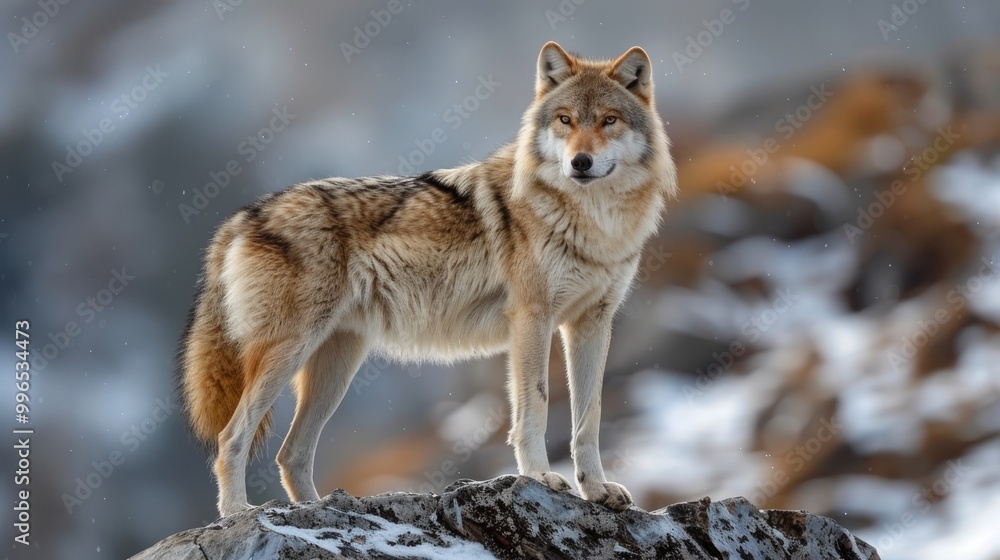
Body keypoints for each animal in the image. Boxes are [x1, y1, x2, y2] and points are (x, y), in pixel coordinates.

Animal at [180, 42, 680, 516]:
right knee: (231, 438)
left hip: (335, 367)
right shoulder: (532, 318)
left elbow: (588, 416)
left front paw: (595, 490)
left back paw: (316, 509)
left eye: (609, 120)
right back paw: (237, 513)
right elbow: (535, 405)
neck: (596, 224)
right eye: (565, 120)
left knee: (291, 454)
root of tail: (243, 217)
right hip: (289, 352)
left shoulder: (591, 323)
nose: (580, 162)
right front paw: (540, 477)